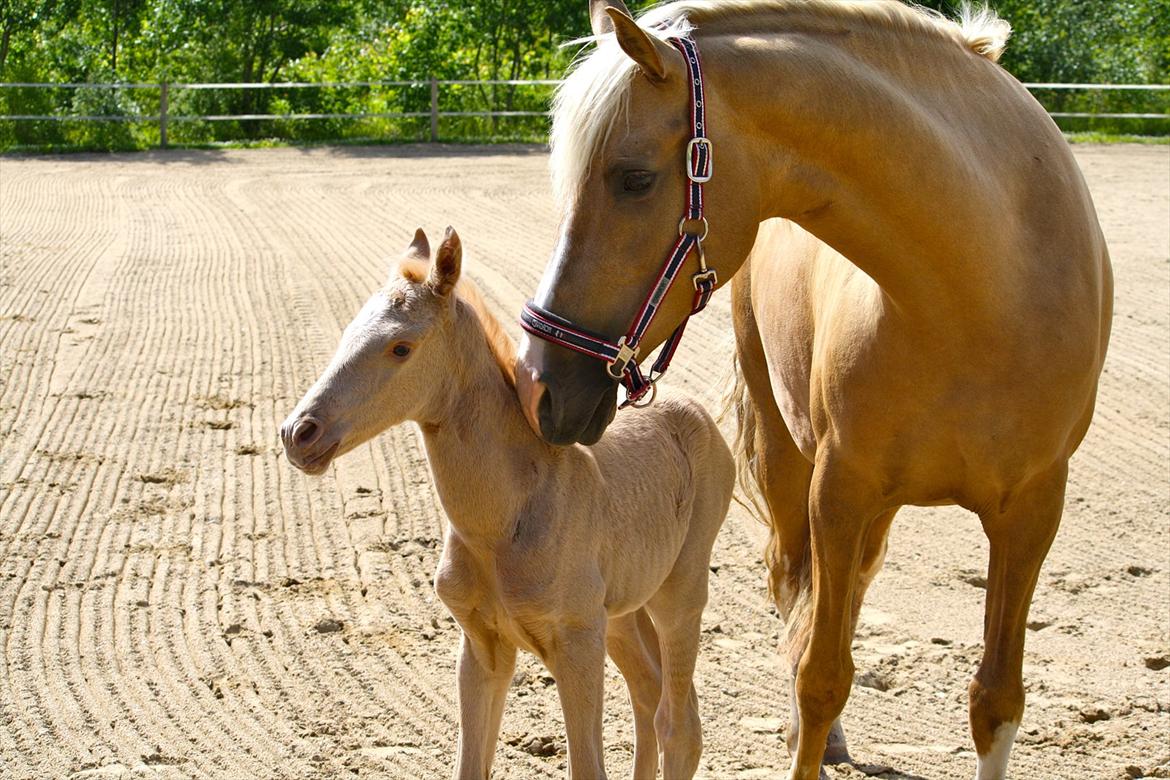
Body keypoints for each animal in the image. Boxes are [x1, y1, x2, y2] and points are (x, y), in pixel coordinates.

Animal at [280, 226, 730, 780]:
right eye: (348, 332)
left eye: (401, 347)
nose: (299, 433)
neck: (502, 523)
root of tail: (697, 413)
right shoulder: (482, 647)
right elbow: (471, 765)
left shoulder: (576, 644)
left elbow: (587, 765)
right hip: (622, 611)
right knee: (649, 693)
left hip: (678, 593)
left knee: (678, 723)